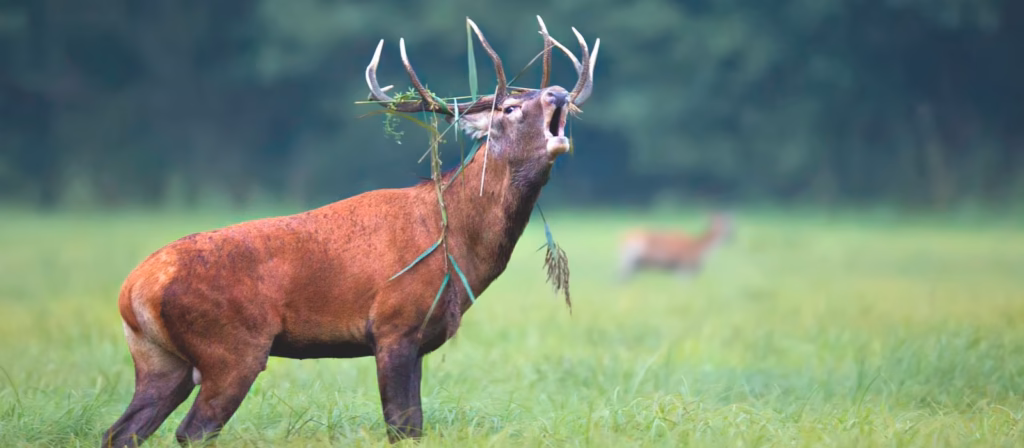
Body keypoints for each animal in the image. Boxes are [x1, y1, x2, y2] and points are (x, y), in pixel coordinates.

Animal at [101, 16, 599, 447]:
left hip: (158, 358)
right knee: (193, 431)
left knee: (119, 431)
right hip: (231, 349)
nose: (558, 92)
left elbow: (414, 426)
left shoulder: (418, 339)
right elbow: (402, 427)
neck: (456, 249)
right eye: (511, 108)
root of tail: (133, 288)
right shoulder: (394, 325)